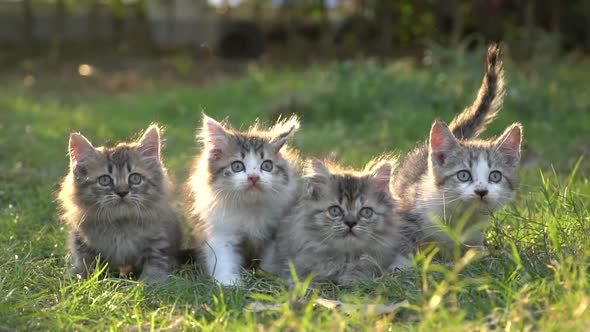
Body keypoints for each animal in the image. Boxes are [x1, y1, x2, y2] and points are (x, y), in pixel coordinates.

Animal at [59, 126, 183, 282]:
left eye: (135, 178)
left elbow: (155, 260)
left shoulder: (157, 237)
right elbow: (85, 260)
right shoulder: (82, 238)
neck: (120, 222)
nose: (122, 192)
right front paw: (82, 277)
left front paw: (151, 280)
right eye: (104, 180)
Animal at [187, 114, 302, 286]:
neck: (250, 205)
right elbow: (222, 258)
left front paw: (268, 274)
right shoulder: (221, 230)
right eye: (237, 166)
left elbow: (272, 257)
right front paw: (228, 282)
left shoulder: (276, 231)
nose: (254, 177)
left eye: (267, 165)